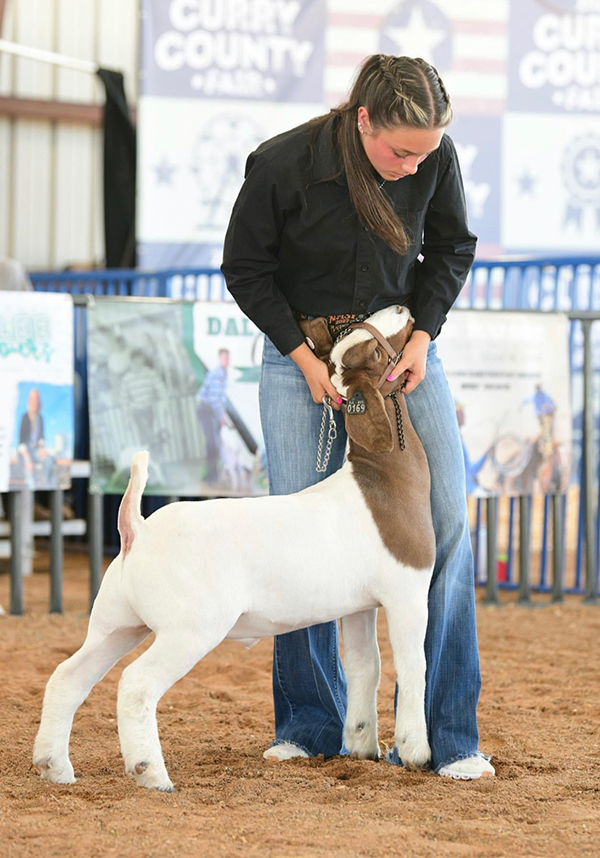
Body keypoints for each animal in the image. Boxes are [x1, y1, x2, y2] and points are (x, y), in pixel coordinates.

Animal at [33, 305, 435, 792]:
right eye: (374, 351)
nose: (401, 308)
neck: (384, 483)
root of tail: (137, 530)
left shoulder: (359, 606)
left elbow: (365, 666)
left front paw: (362, 747)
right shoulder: (408, 592)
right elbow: (412, 666)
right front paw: (416, 752)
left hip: (116, 624)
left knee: (67, 677)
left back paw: (54, 766)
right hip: (190, 629)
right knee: (135, 684)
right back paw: (151, 773)